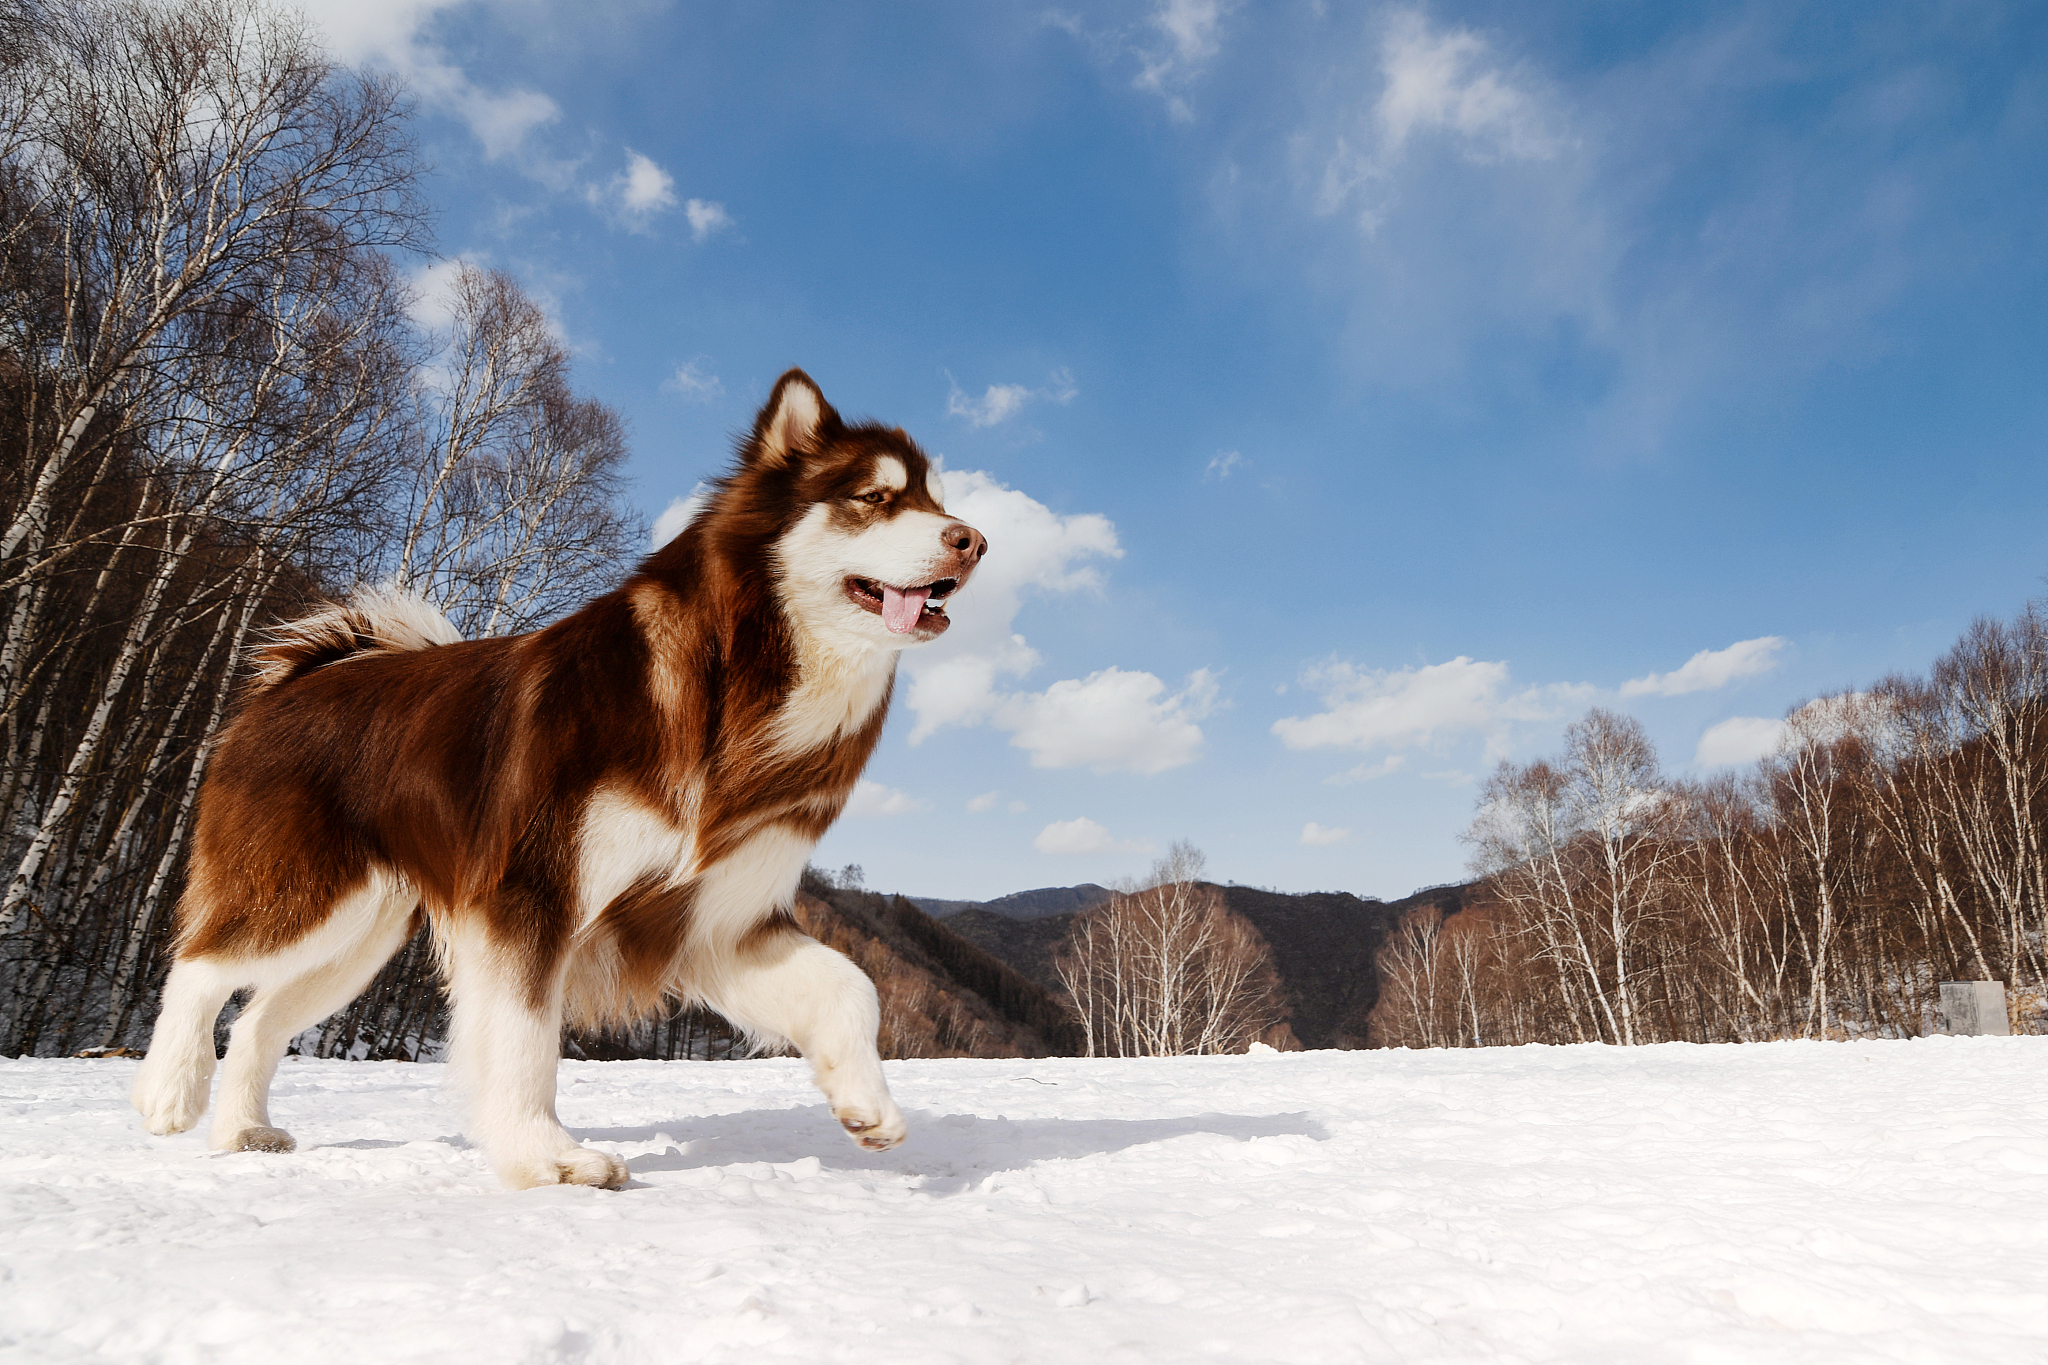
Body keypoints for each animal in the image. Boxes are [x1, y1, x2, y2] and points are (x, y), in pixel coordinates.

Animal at [132, 368, 987, 1186]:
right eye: (875, 497)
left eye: (934, 499)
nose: (974, 540)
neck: (727, 686)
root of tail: (292, 680)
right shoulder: (532, 892)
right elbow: (525, 1038)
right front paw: (546, 1156)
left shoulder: (714, 914)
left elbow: (852, 985)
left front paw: (867, 1102)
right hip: (304, 891)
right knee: (199, 965)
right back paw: (169, 1092)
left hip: (359, 930)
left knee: (259, 1015)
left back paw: (242, 1130)